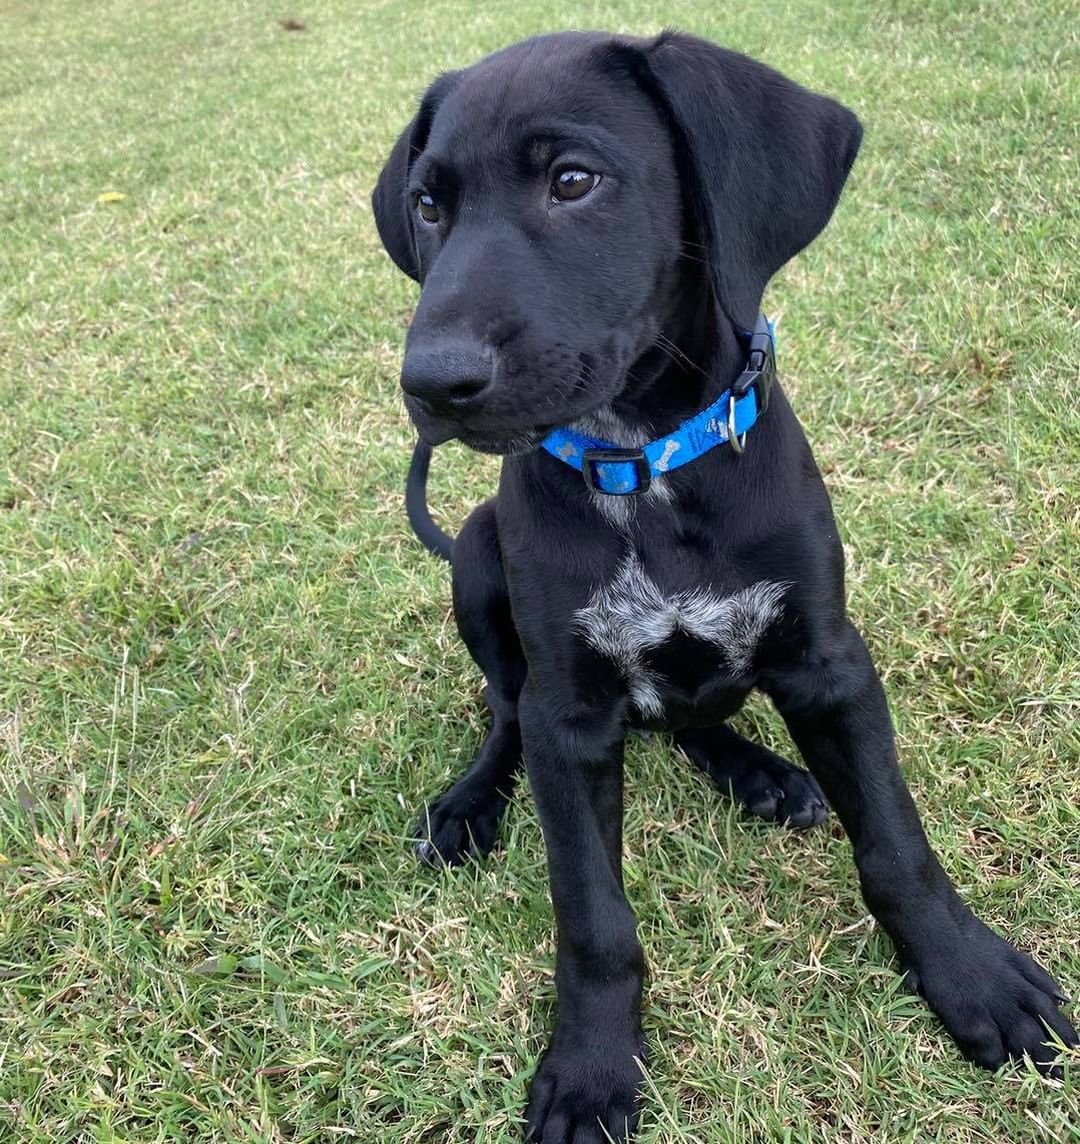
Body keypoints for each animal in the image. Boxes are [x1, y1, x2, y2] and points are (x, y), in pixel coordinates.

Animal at [370, 31, 1070, 1139]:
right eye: (429, 203)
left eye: (575, 181)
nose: (431, 383)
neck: (644, 466)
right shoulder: (569, 713)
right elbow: (593, 917)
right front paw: (593, 1068)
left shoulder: (831, 663)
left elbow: (898, 846)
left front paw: (971, 976)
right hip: (480, 554)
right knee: (504, 708)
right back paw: (470, 804)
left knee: (694, 717)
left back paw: (762, 772)